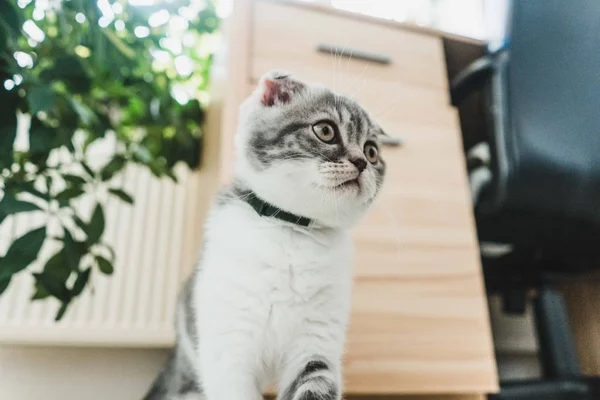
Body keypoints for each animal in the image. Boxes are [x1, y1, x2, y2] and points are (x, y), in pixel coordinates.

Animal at [146, 71, 390, 400]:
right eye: (325, 130)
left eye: (372, 151)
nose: (362, 162)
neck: (293, 230)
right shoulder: (229, 346)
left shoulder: (317, 342)